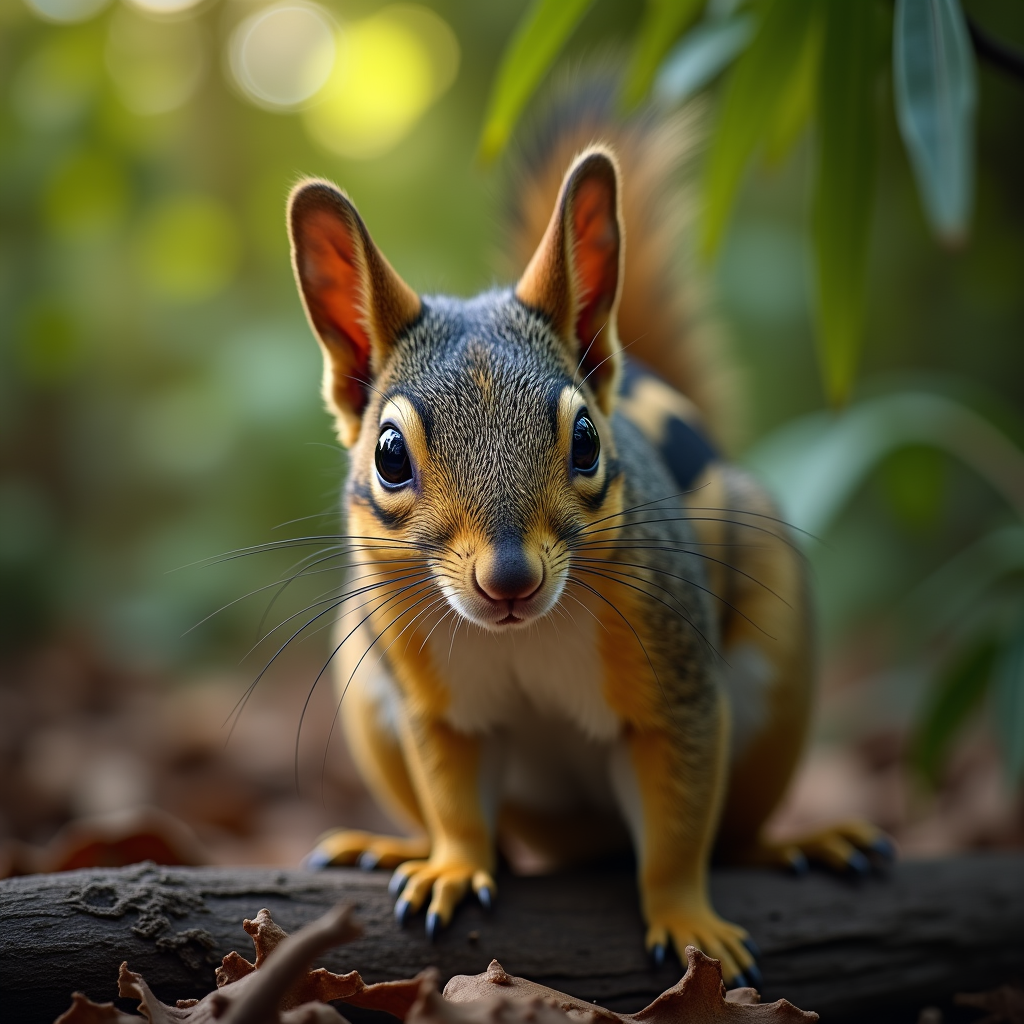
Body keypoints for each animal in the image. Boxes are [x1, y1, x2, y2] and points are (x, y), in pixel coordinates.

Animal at [284, 93, 892, 989]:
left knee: (733, 833)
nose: (508, 579)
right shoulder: (439, 709)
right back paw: (397, 845)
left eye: (585, 443)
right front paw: (453, 866)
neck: (521, 638)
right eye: (389, 455)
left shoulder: (676, 688)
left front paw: (686, 918)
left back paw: (795, 842)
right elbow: (457, 801)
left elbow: (677, 829)